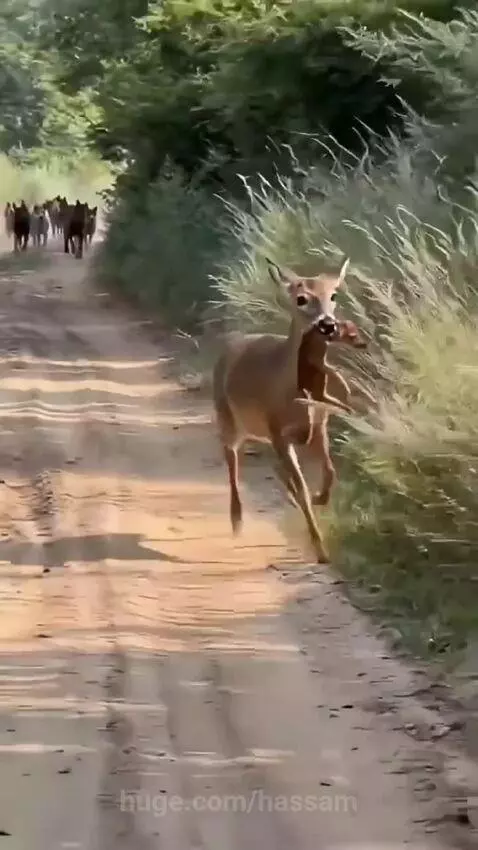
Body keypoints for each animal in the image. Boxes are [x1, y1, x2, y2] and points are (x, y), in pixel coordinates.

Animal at [212, 255, 354, 564]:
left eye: (334, 295)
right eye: (301, 298)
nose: (328, 324)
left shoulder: (318, 425)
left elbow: (330, 472)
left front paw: (320, 498)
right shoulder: (278, 430)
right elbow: (302, 486)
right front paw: (321, 549)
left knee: (273, 466)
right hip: (227, 418)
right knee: (232, 461)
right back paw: (236, 522)